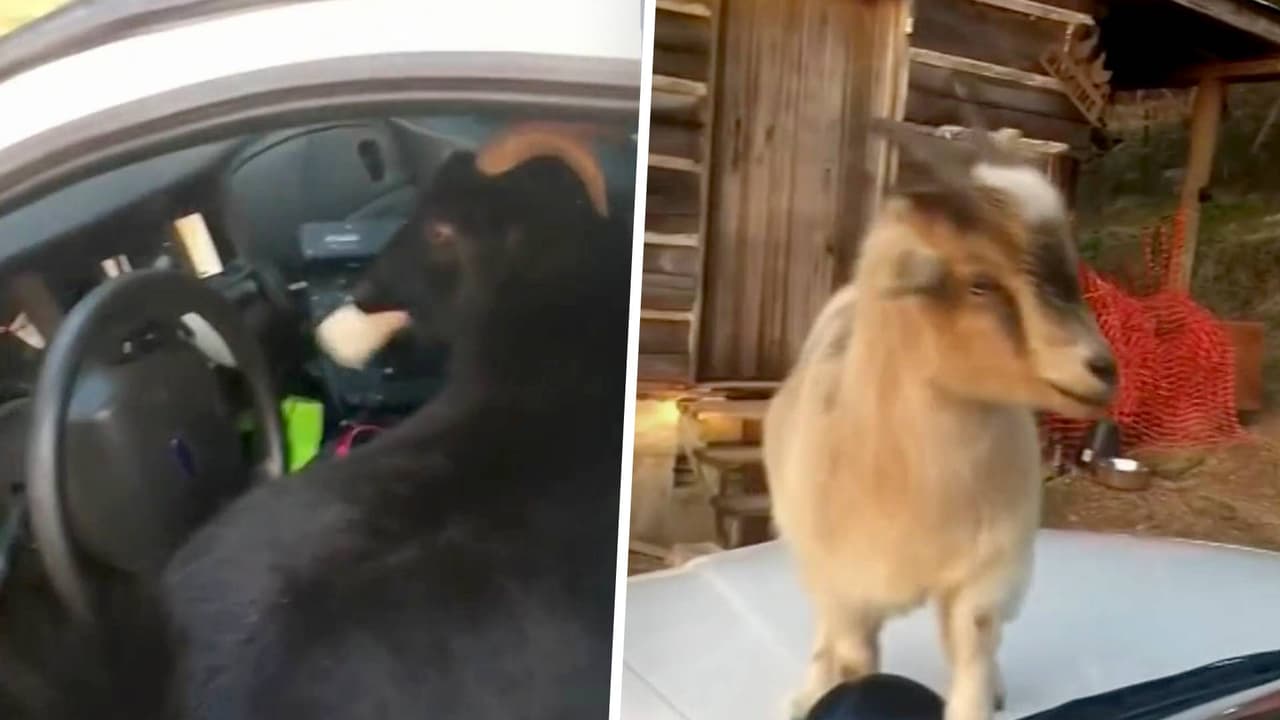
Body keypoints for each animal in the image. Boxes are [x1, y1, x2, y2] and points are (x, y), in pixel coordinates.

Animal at [763, 122, 1117, 720]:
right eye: (980, 283)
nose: (1104, 369)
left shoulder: (986, 578)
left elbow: (973, 650)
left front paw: (983, 695)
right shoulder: (847, 589)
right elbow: (855, 660)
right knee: (825, 637)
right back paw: (807, 690)